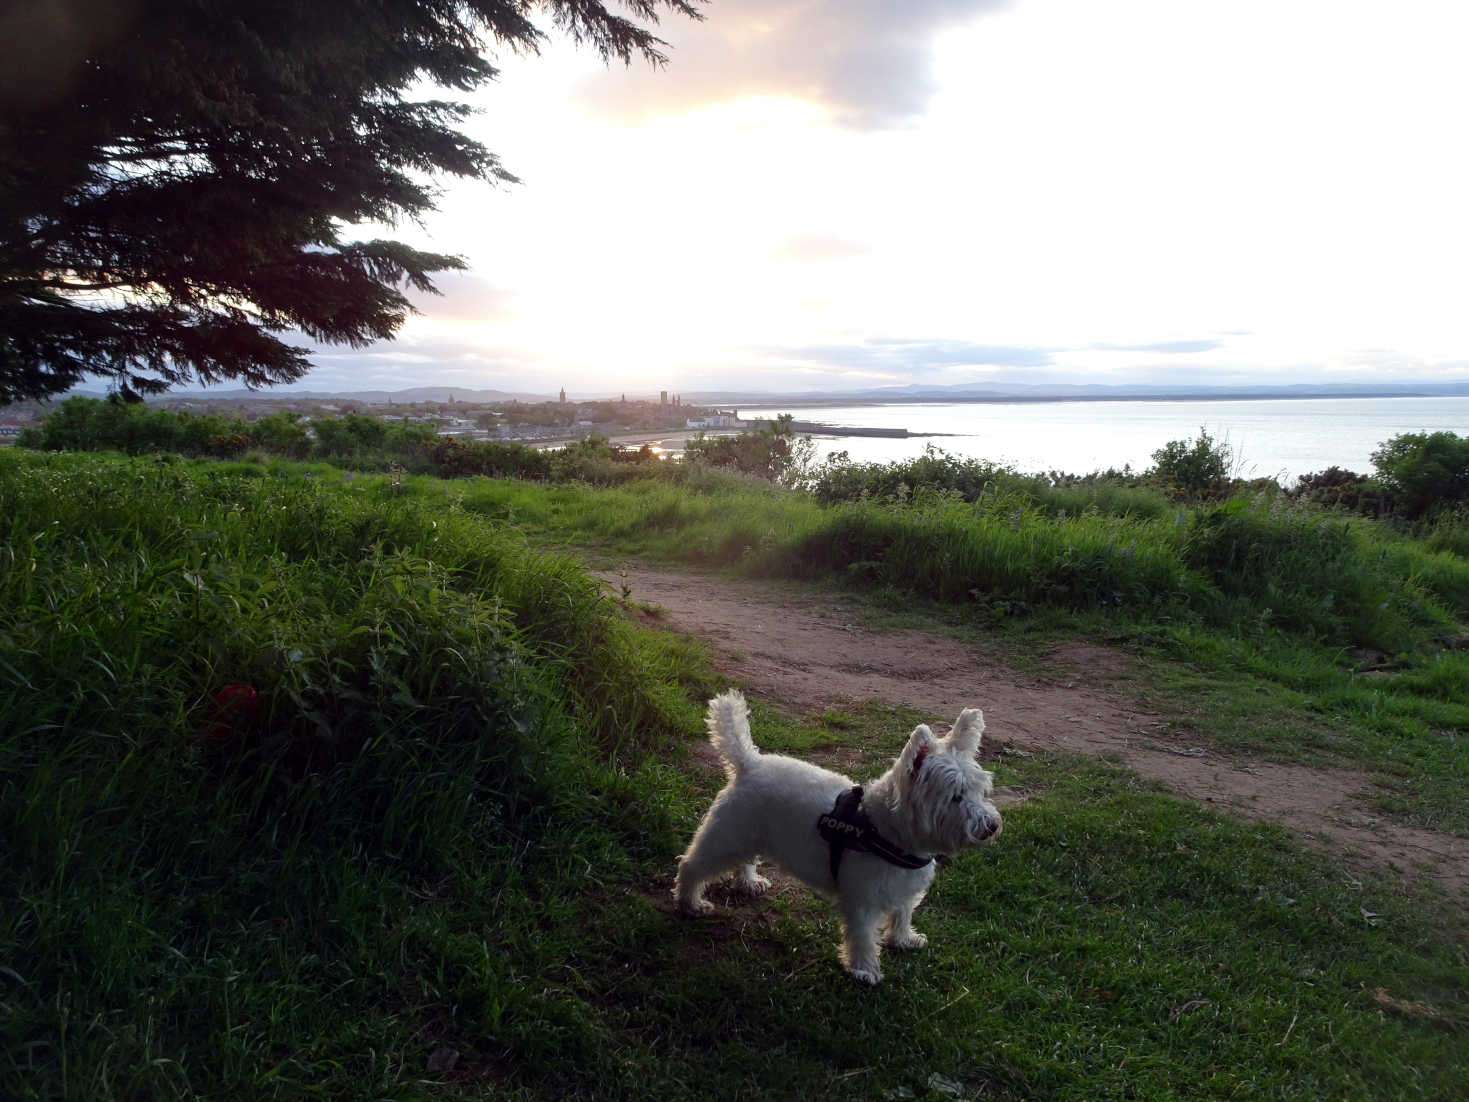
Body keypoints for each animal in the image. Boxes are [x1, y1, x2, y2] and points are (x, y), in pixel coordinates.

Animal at [672, 693, 998, 987]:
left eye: (979, 791)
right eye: (955, 796)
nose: (992, 826)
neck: (885, 830)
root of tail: (749, 762)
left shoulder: (904, 890)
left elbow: (903, 915)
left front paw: (905, 940)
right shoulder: (862, 901)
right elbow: (863, 938)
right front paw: (864, 971)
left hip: (750, 835)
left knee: (744, 861)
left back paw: (749, 882)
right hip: (726, 836)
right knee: (692, 865)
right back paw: (691, 904)